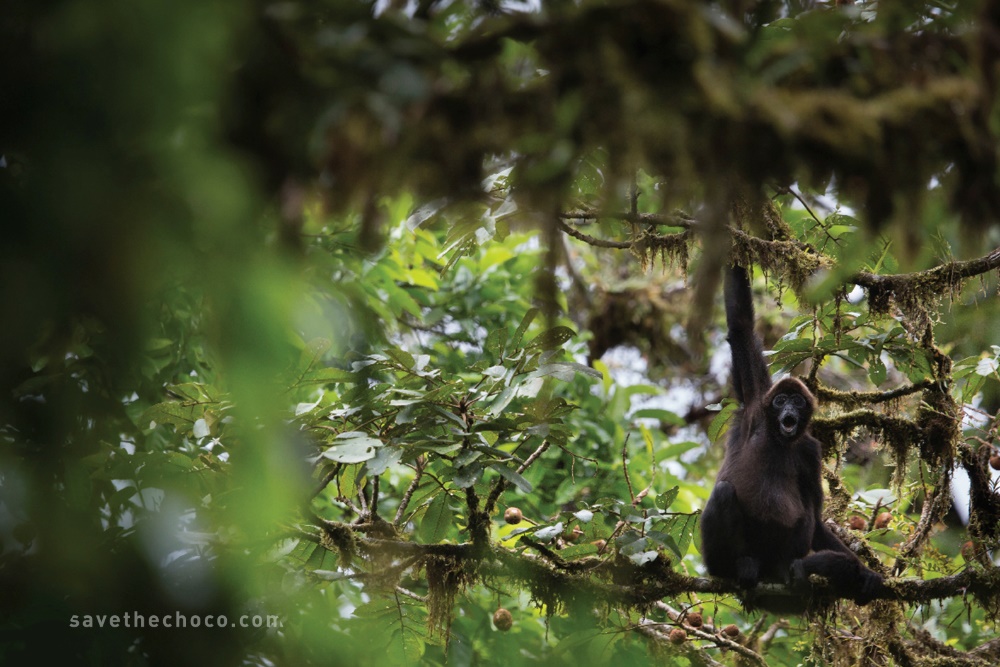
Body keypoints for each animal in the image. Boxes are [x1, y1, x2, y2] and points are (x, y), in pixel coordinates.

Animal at [700, 264, 888, 612]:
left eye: (798, 402)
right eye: (780, 401)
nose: (788, 409)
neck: (779, 439)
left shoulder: (810, 449)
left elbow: (815, 513)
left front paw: (866, 572)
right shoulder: (754, 406)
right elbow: (741, 326)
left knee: (804, 515)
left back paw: (793, 573)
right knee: (723, 492)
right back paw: (738, 567)